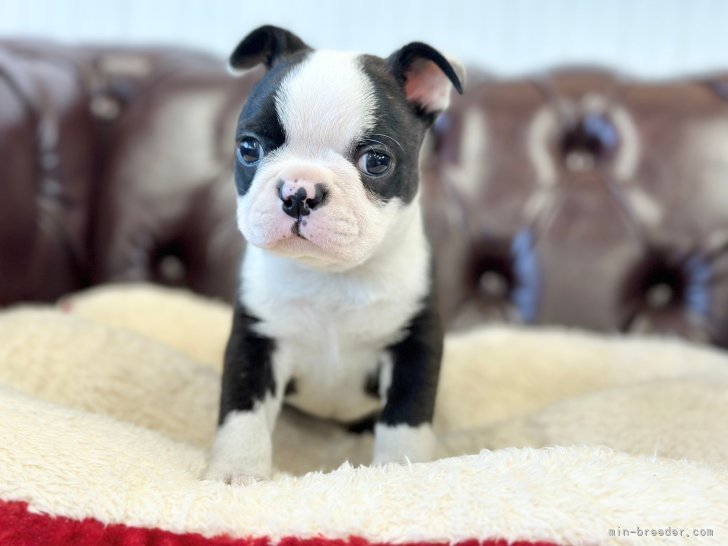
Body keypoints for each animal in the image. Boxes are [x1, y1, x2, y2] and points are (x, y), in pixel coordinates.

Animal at [203, 26, 466, 484]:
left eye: (376, 161)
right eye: (249, 149)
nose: (298, 192)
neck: (331, 276)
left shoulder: (414, 343)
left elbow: (405, 417)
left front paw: (402, 469)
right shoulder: (257, 340)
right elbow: (242, 409)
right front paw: (237, 470)